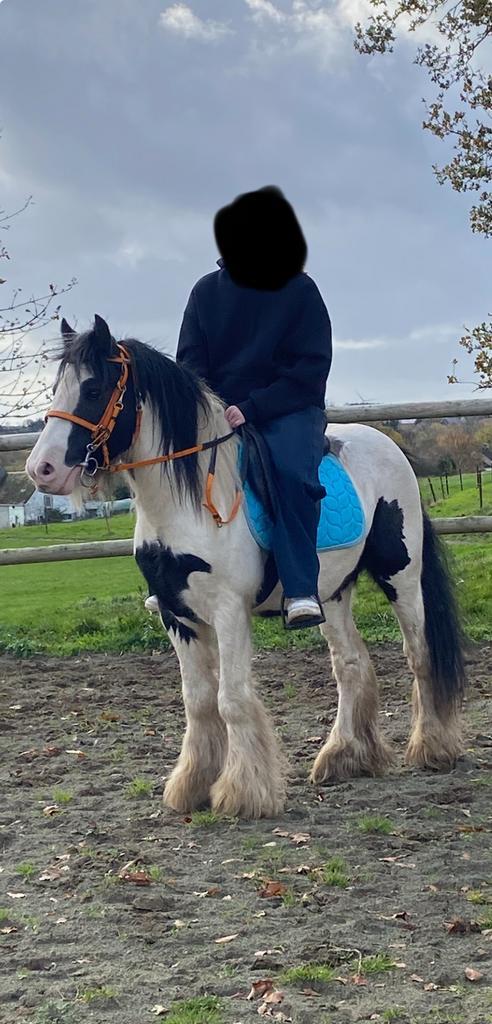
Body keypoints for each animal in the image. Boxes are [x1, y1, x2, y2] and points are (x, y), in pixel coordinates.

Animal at [26, 315, 465, 819]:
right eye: (56, 387)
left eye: (94, 388)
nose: (41, 470)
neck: (187, 502)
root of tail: (387, 446)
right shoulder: (176, 615)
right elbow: (198, 701)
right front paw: (192, 785)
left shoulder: (228, 611)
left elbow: (231, 699)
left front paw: (242, 792)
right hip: (332, 593)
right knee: (351, 665)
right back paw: (346, 757)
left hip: (402, 576)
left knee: (420, 655)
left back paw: (432, 748)